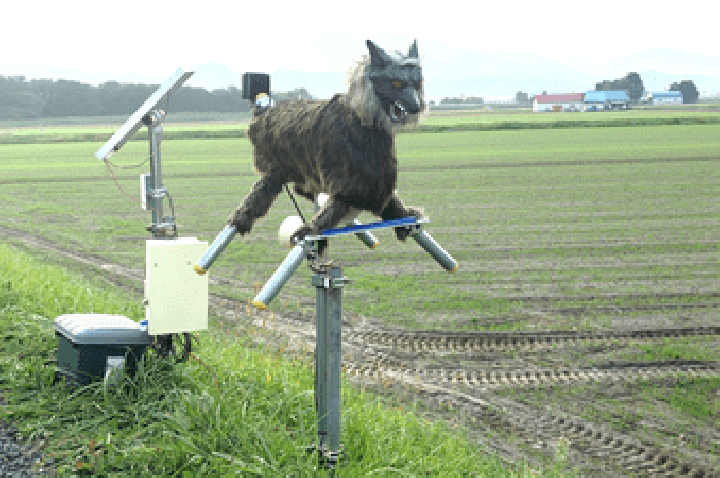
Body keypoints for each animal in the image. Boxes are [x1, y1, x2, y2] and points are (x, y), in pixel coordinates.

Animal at [226, 39, 428, 244]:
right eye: (396, 82)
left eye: (418, 82)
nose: (417, 107)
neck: (360, 120)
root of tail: (263, 111)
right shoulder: (349, 185)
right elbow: (331, 212)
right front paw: (311, 229)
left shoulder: (376, 184)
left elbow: (392, 203)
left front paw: (407, 216)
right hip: (275, 170)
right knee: (260, 194)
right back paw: (240, 219)